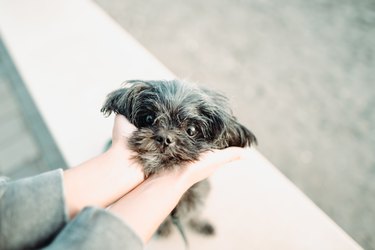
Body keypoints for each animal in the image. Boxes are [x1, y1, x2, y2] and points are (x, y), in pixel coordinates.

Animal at [101, 79, 258, 238]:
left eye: (191, 130)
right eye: (149, 118)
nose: (164, 138)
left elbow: (196, 213)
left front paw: (200, 224)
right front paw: (165, 227)